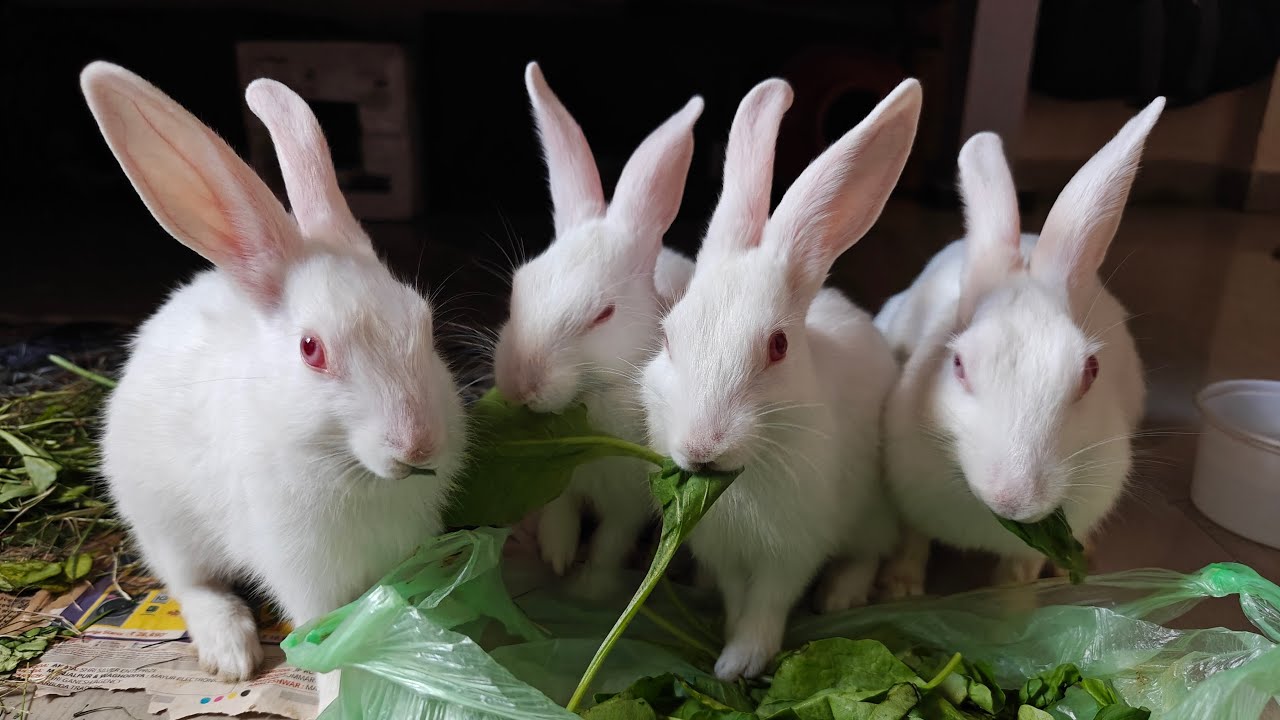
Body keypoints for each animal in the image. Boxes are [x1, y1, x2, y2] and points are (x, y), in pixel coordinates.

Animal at [84, 61, 464, 699]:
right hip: (162, 522)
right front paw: (337, 690)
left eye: (425, 322)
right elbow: (321, 632)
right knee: (191, 584)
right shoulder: (301, 571)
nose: (417, 445)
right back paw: (230, 651)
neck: (353, 470)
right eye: (311, 349)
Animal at [492, 62, 702, 599]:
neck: (595, 399)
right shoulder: (558, 480)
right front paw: (557, 555)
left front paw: (587, 587)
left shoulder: (631, 503)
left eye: (602, 315)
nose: (520, 384)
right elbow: (560, 513)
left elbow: (610, 540)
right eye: (521, 284)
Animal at [641, 77, 922, 680]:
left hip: (871, 511)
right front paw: (726, 639)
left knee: (868, 552)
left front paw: (739, 662)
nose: (702, 448)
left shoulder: (792, 550)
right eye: (669, 336)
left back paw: (841, 596)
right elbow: (734, 594)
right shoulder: (724, 552)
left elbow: (769, 602)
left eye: (778, 346)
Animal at [876, 98, 1165, 597]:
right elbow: (912, 544)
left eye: (1090, 371)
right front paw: (901, 590)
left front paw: (1011, 602)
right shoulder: (911, 501)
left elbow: (1017, 574)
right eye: (958, 364)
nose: (1014, 498)